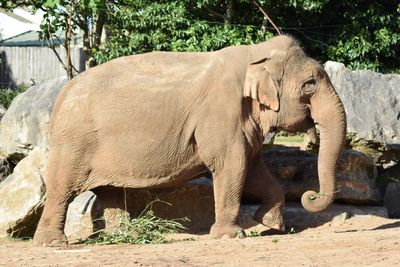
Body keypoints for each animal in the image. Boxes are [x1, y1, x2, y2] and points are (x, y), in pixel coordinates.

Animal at [33, 35, 346, 247]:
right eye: (310, 84)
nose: (310, 195)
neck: (256, 53)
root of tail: (61, 93)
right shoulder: (221, 113)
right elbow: (232, 164)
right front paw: (231, 236)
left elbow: (254, 168)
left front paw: (271, 224)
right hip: (74, 142)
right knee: (61, 188)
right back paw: (53, 243)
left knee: (108, 190)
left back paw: (123, 234)